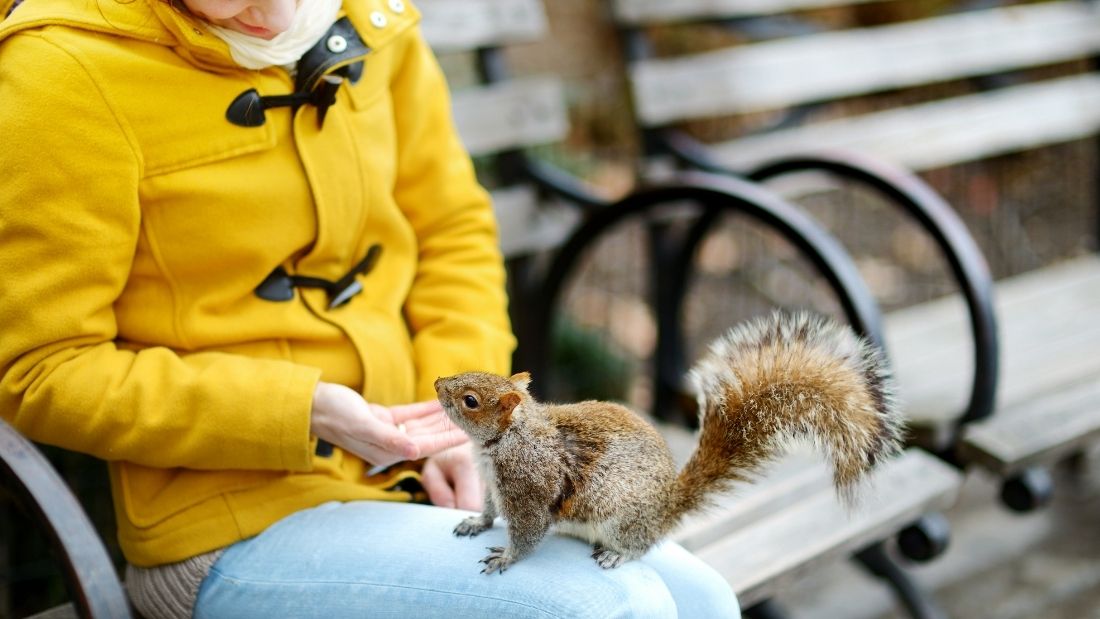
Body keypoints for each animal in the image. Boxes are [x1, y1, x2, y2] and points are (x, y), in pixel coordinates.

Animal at [433, 310, 904, 574]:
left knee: (640, 547)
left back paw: (617, 556)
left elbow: (528, 531)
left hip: (622, 520)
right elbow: (490, 508)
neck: (502, 441)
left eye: (470, 400)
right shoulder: (492, 483)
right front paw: (475, 522)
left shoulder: (528, 485)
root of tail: (667, 507)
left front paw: (507, 558)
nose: (438, 383)